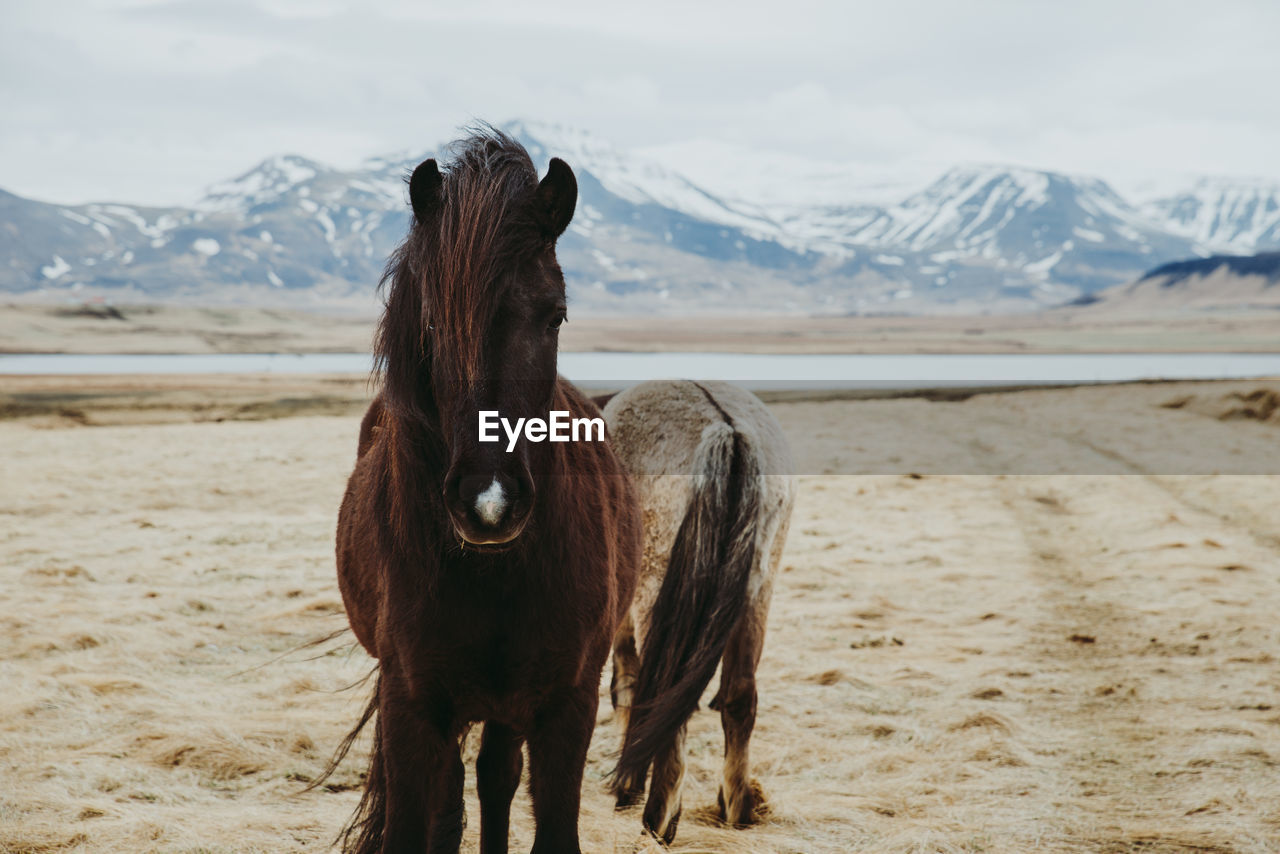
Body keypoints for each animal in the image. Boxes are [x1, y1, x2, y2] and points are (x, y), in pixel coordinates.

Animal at [330, 128, 640, 854]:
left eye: (556, 316)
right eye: (433, 326)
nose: (489, 503)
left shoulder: (567, 706)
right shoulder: (413, 706)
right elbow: (419, 826)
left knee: (497, 776)